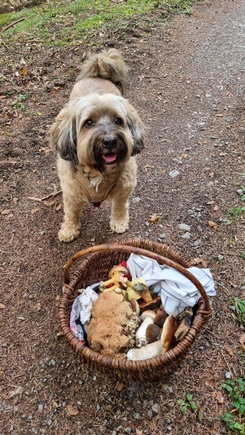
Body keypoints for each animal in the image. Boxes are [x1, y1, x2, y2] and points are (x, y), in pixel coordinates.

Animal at [50, 50, 145, 245]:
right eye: (89, 123)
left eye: (118, 120)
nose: (110, 141)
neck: (99, 170)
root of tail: (97, 73)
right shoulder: (70, 193)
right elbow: (71, 213)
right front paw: (69, 230)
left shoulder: (125, 187)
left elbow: (120, 206)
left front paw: (119, 222)